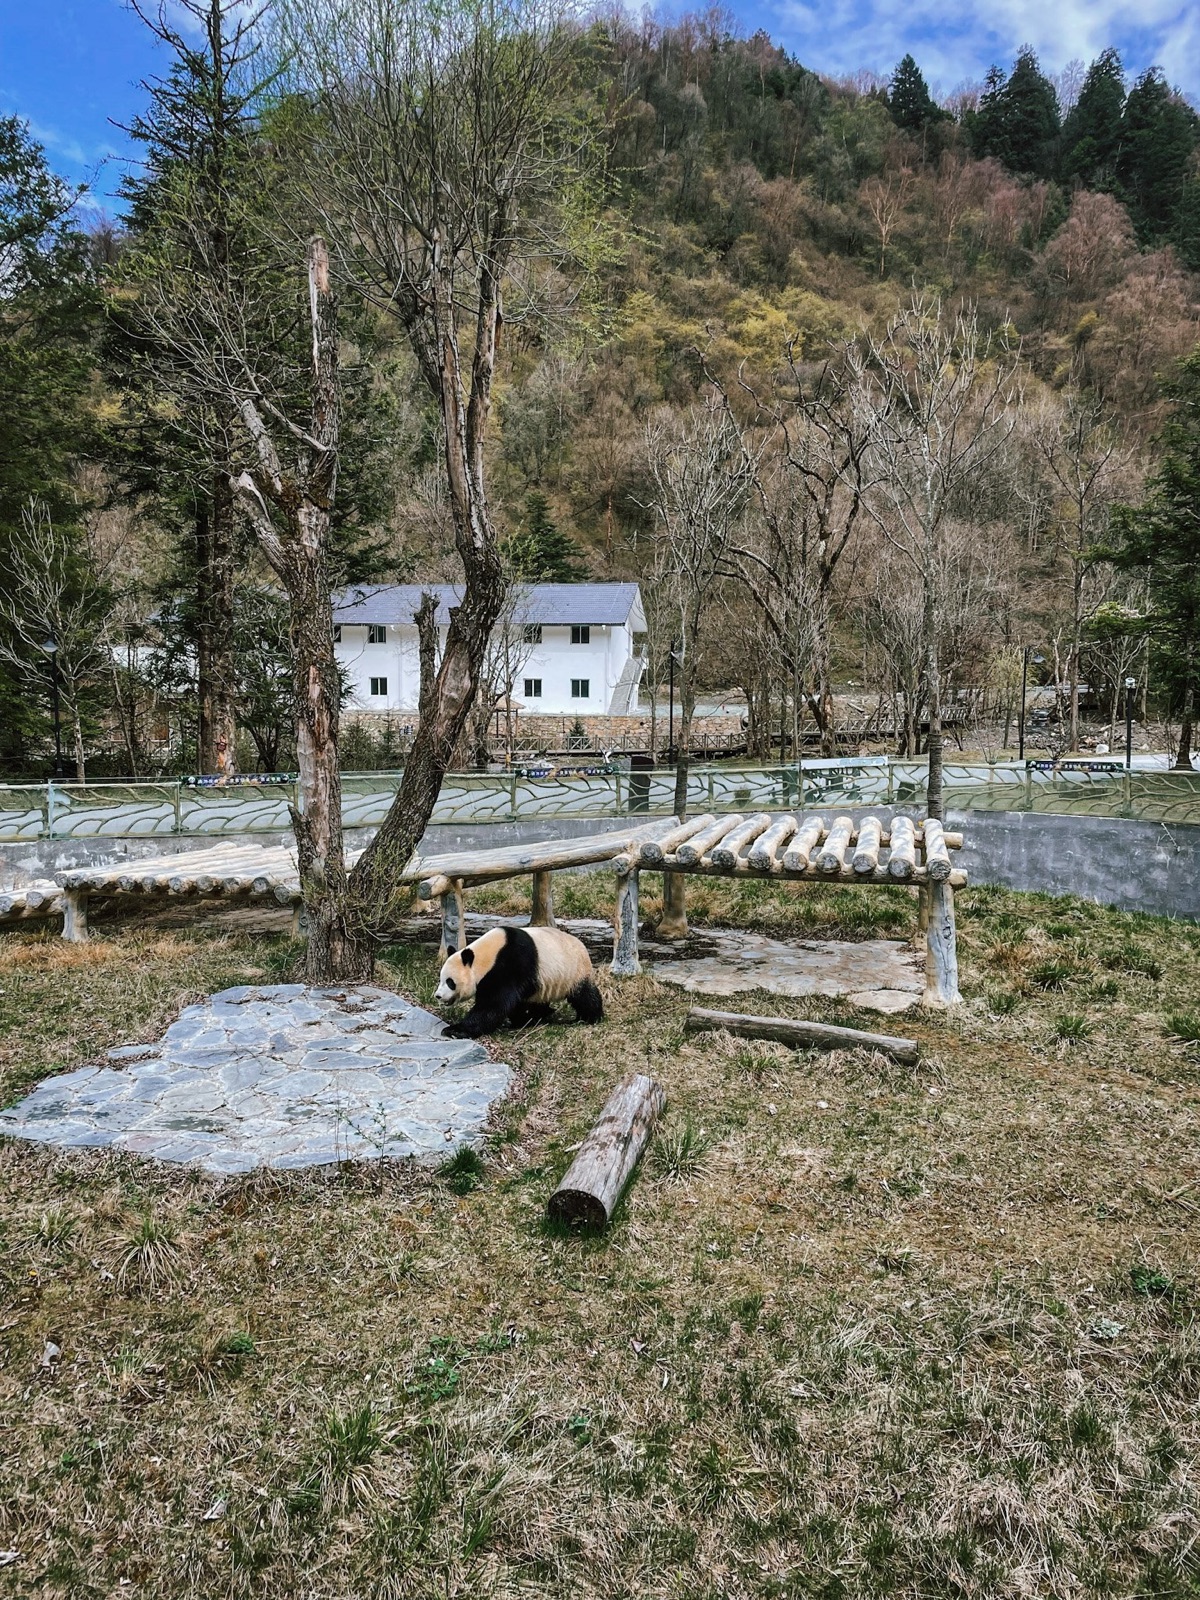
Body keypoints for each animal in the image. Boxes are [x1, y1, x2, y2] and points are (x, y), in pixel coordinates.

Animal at [435, 925, 604, 1038]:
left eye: (450, 982)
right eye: (440, 979)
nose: (438, 996)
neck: (486, 956)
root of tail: (583, 947)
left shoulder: (511, 964)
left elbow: (493, 1004)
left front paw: (455, 1030)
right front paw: (519, 1021)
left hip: (574, 972)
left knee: (585, 996)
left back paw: (590, 1018)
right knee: (535, 1000)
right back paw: (538, 1015)